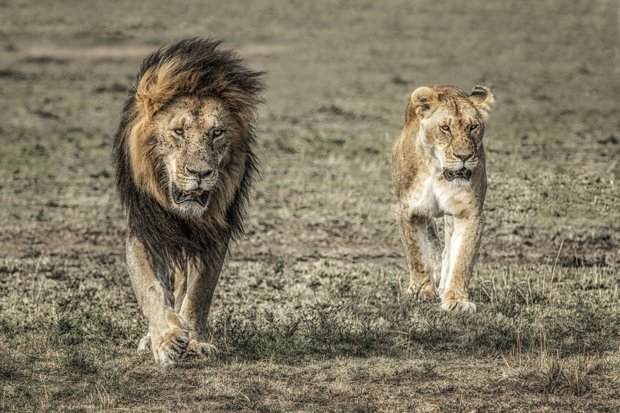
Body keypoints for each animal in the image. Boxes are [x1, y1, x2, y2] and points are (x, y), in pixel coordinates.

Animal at [112, 38, 262, 366]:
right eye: (178, 132)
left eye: (217, 132)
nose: (200, 173)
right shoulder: (144, 229)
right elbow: (150, 288)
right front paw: (166, 339)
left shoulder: (214, 232)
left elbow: (199, 293)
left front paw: (194, 339)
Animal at [392, 83, 494, 310]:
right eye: (445, 128)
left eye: (473, 127)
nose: (464, 156)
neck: (439, 172)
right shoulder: (408, 210)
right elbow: (417, 255)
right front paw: (421, 292)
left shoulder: (470, 213)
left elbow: (462, 259)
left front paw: (456, 300)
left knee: (448, 250)